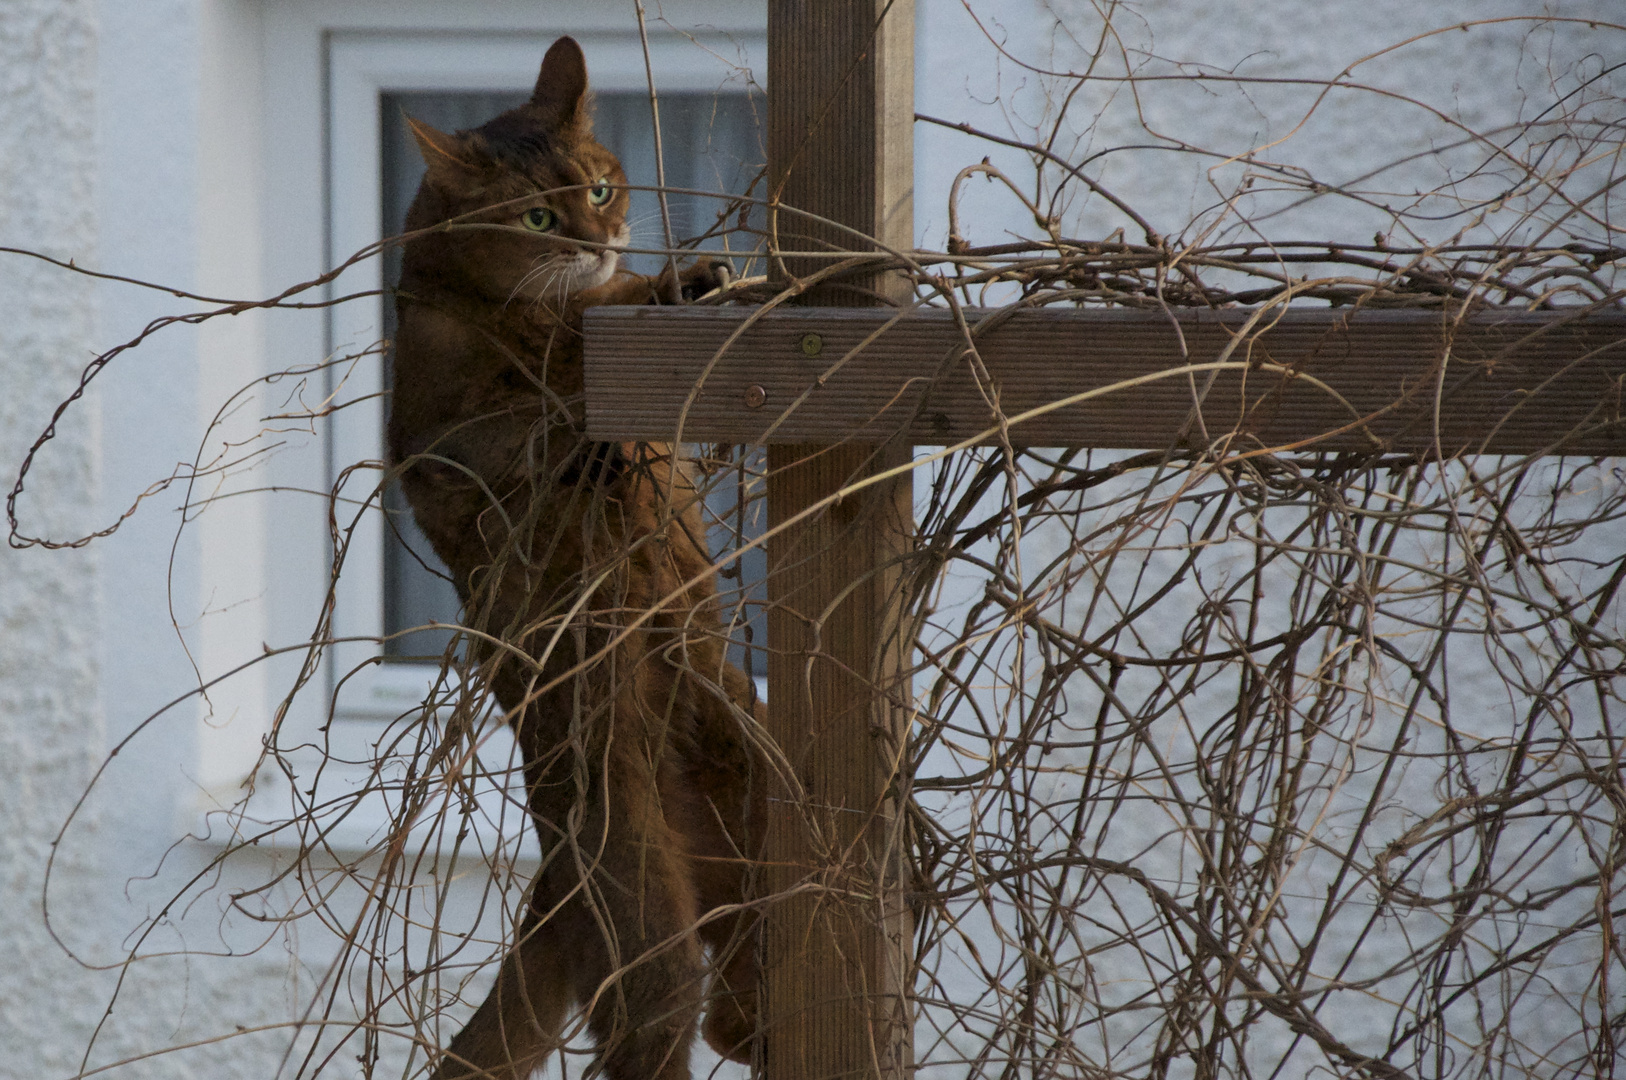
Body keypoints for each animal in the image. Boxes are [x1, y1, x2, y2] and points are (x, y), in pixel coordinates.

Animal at [382, 33, 760, 1080]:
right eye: (538, 217)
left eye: (597, 186)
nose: (600, 238)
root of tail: (547, 875)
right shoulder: (431, 451)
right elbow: (538, 409)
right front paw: (579, 431)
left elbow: (626, 326)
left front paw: (692, 281)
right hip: (639, 911)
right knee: (665, 1017)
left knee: (744, 1005)